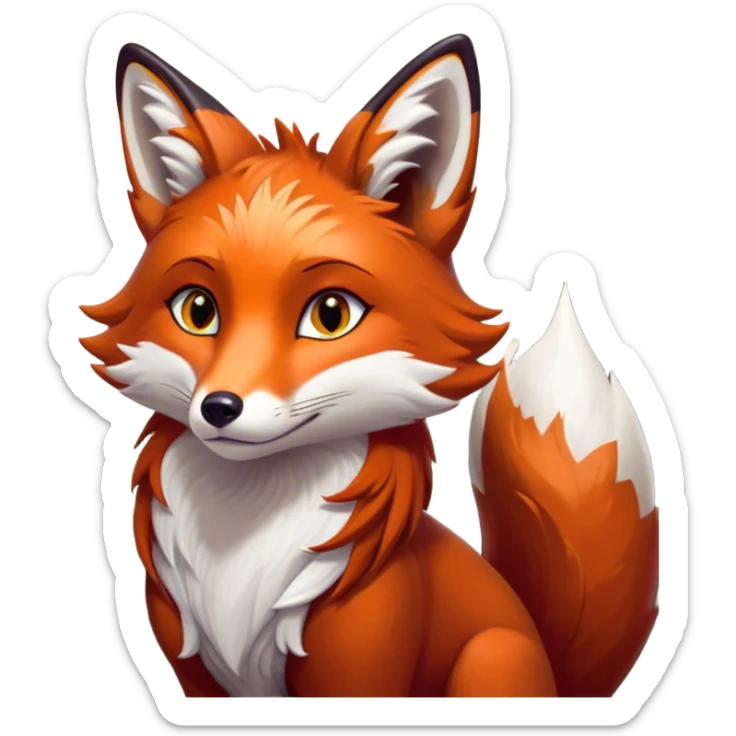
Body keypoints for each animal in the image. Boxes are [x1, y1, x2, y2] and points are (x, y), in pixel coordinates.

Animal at [78, 35, 658, 698]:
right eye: (198, 310)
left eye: (330, 314)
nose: (220, 407)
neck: (245, 546)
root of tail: (554, 676)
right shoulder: (192, 673)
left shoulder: (358, 668)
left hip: (490, 660)